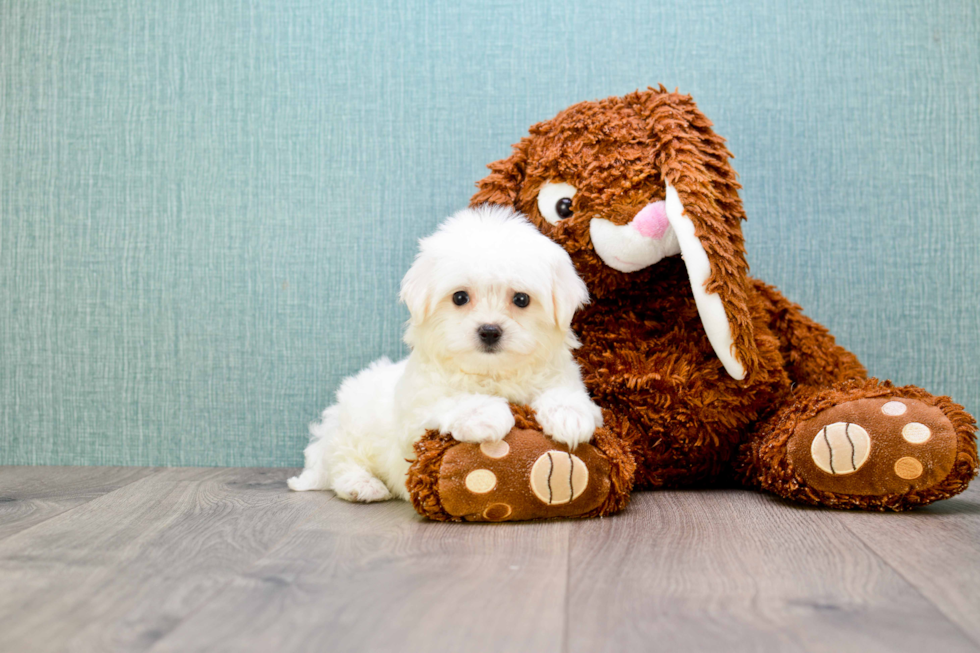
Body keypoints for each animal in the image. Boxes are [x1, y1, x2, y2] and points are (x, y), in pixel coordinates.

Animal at [288, 206, 600, 502]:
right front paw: (485, 414)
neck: (492, 373)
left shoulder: (561, 377)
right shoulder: (416, 414)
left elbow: (565, 394)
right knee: (342, 461)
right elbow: (449, 401)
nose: (489, 330)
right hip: (353, 427)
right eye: (460, 297)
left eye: (521, 299)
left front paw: (570, 416)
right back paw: (362, 485)